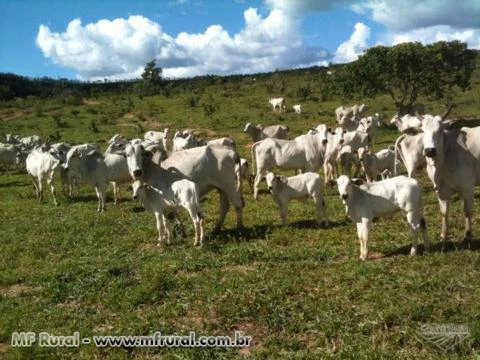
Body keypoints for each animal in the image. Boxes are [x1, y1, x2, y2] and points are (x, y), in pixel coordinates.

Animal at [422, 115, 480, 245]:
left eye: (439, 131)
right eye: (422, 131)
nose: (429, 150)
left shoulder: (467, 187)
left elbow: (467, 211)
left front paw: (468, 236)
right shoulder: (440, 190)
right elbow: (444, 212)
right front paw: (443, 236)